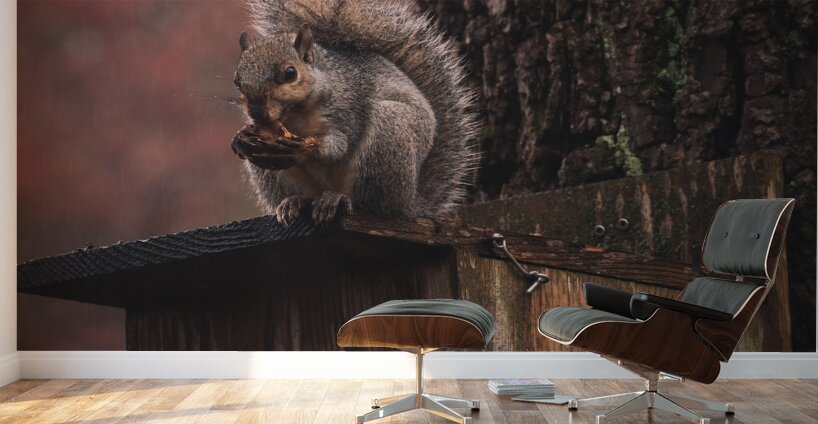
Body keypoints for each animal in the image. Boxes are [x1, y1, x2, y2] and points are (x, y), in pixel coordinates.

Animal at [231, 0, 479, 226]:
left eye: (290, 73)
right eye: (237, 80)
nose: (256, 111)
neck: (295, 115)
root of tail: (410, 202)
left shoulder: (349, 106)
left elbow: (339, 144)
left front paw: (305, 148)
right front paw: (241, 137)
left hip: (386, 140)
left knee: (369, 203)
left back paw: (337, 200)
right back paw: (293, 202)